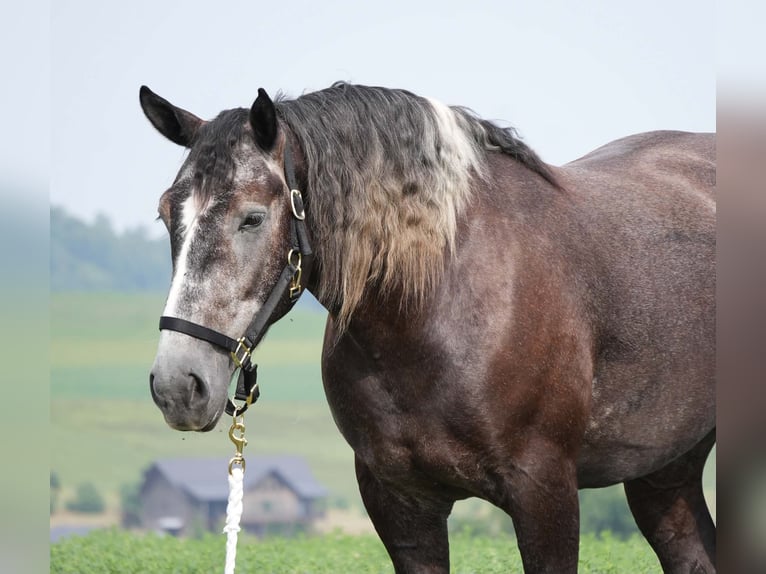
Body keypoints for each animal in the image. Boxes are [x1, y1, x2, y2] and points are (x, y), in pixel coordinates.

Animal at [141, 82, 716, 573]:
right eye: (167, 215)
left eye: (253, 217)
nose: (178, 385)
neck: (435, 306)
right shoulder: (401, 502)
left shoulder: (545, 490)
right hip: (666, 471)